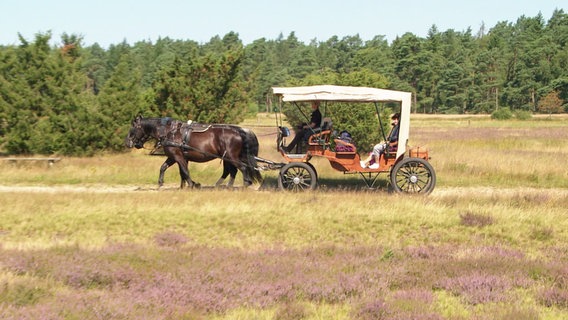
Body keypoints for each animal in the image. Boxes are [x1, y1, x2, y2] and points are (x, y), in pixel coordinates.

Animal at [124, 116, 262, 189]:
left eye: (133, 128)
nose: (127, 142)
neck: (169, 132)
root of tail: (239, 131)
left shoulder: (177, 156)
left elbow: (185, 171)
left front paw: (191, 184)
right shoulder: (175, 157)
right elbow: (166, 168)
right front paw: (165, 183)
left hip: (231, 156)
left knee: (242, 168)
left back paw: (245, 184)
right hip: (228, 157)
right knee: (232, 170)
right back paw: (226, 186)